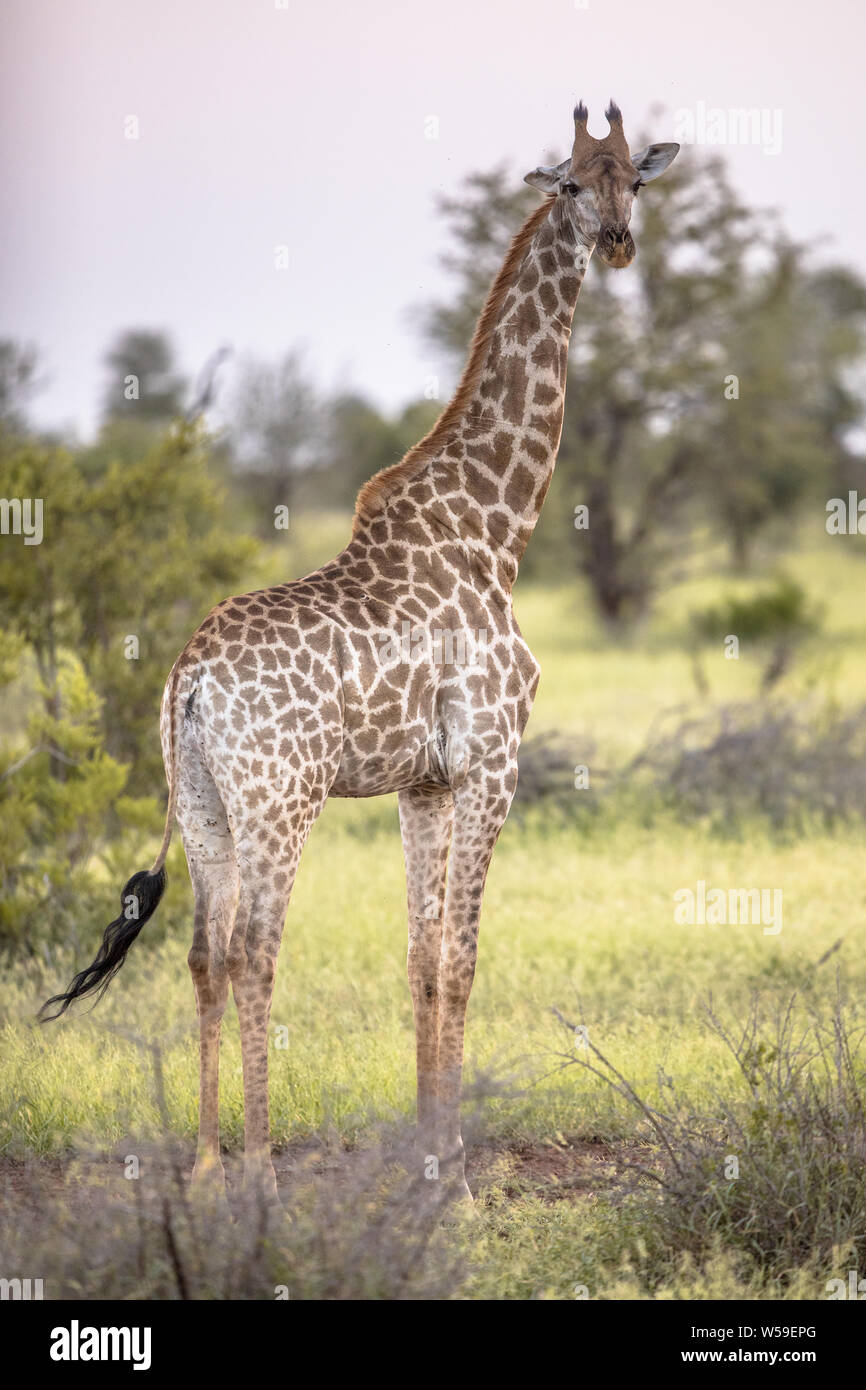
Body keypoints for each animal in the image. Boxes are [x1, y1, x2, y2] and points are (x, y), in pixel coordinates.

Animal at [38, 100, 678, 1206]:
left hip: (199, 800)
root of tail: (188, 681)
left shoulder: (423, 781)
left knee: (202, 951)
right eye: (567, 182)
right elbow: (460, 957)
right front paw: (457, 1174)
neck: (497, 529)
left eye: (631, 180)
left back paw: (205, 1163)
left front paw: (426, 1155)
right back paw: (259, 1171)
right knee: (253, 950)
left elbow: (418, 958)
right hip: (281, 794)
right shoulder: (494, 759)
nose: (615, 243)